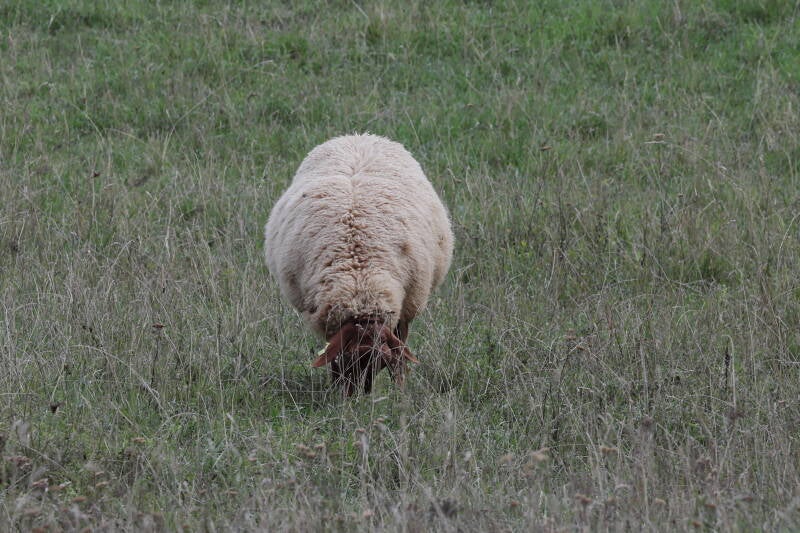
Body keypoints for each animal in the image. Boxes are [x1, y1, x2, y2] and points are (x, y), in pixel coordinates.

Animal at [264, 133, 454, 395]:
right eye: (348, 360)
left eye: (380, 362)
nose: (361, 397)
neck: (360, 280)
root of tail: (358, 136)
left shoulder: (405, 309)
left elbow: (399, 356)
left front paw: (399, 391)